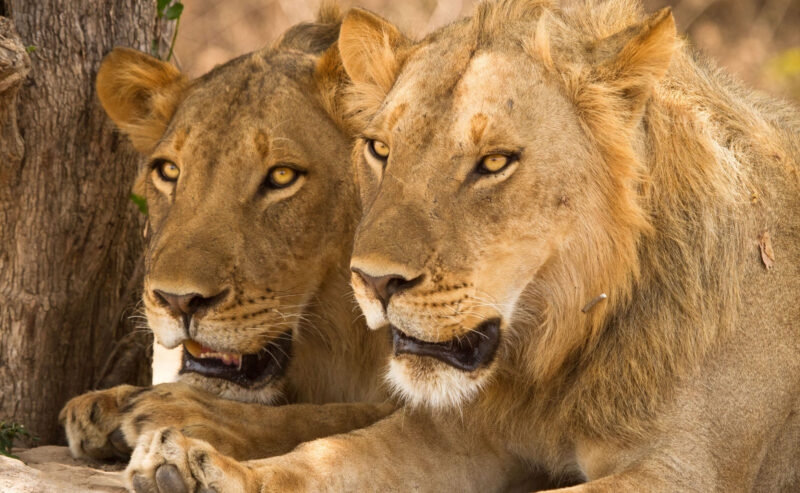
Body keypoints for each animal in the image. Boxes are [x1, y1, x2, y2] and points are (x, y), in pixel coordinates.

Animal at [59, 7, 396, 463]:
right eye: (169, 170)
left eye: (282, 176)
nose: (178, 301)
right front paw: (110, 402)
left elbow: (330, 416)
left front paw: (184, 412)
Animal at [119, 0, 800, 491]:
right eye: (380, 149)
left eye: (494, 163)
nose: (374, 282)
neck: (553, 354)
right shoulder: (456, 435)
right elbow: (325, 455)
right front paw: (199, 468)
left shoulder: (685, 471)